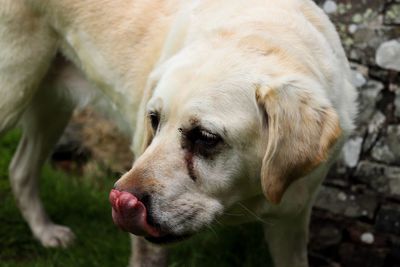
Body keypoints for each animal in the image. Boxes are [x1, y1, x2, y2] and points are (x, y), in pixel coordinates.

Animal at [0, 0, 356, 267]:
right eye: (154, 120)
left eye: (206, 138)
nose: (120, 201)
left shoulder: (291, 221)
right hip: (14, 95)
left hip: (51, 106)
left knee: (19, 170)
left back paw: (45, 232)